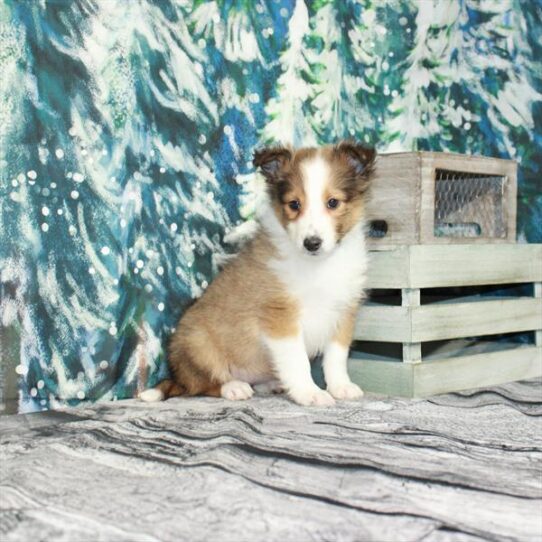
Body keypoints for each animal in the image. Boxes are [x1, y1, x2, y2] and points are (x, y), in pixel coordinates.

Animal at [140, 142, 376, 406]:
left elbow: (336, 357)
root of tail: (177, 374)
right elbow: (298, 361)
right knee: (201, 384)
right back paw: (234, 387)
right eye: (294, 204)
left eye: (333, 202)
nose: (311, 243)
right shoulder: (280, 316)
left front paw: (341, 387)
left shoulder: (344, 310)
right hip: (197, 343)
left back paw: (272, 385)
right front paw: (310, 392)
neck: (318, 265)